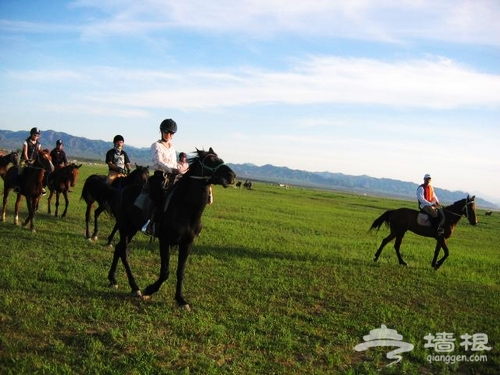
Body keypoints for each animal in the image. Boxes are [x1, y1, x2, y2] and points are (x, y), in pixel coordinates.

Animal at [106, 148, 235, 312]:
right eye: (211, 161)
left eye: (220, 159)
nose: (232, 176)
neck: (185, 210)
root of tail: (121, 191)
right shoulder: (165, 241)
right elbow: (165, 272)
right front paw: (149, 289)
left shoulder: (187, 244)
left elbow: (180, 271)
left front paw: (181, 300)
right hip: (124, 226)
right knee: (123, 252)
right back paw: (135, 287)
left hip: (132, 228)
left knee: (118, 248)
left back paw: (113, 279)